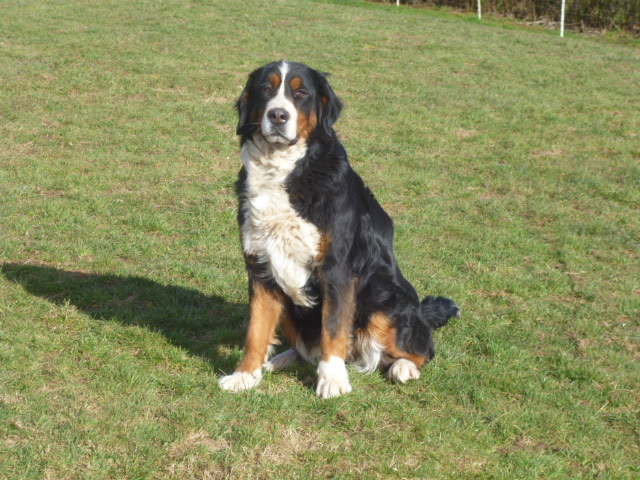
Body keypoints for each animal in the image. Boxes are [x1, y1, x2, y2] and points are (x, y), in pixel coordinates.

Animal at [220, 61, 460, 398]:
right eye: (266, 89)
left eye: (301, 93)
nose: (278, 115)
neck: (285, 170)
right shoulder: (260, 266)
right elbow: (257, 329)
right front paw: (245, 375)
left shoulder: (337, 270)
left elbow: (333, 329)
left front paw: (332, 380)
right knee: (305, 347)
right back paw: (280, 360)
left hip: (384, 302)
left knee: (421, 349)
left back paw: (403, 367)